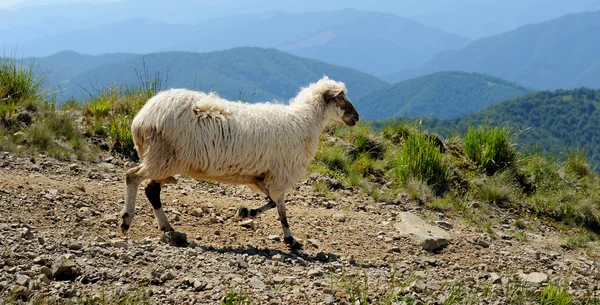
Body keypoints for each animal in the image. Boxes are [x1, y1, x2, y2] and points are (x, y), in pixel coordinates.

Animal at [119, 75, 358, 247]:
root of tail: (142, 118)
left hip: (163, 159)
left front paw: (246, 212)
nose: (356, 118)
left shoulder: (262, 176)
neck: (303, 122)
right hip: (162, 157)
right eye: (341, 98)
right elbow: (281, 209)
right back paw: (126, 220)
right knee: (132, 176)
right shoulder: (280, 175)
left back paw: (166, 227)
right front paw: (290, 239)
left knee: (151, 189)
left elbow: (273, 203)